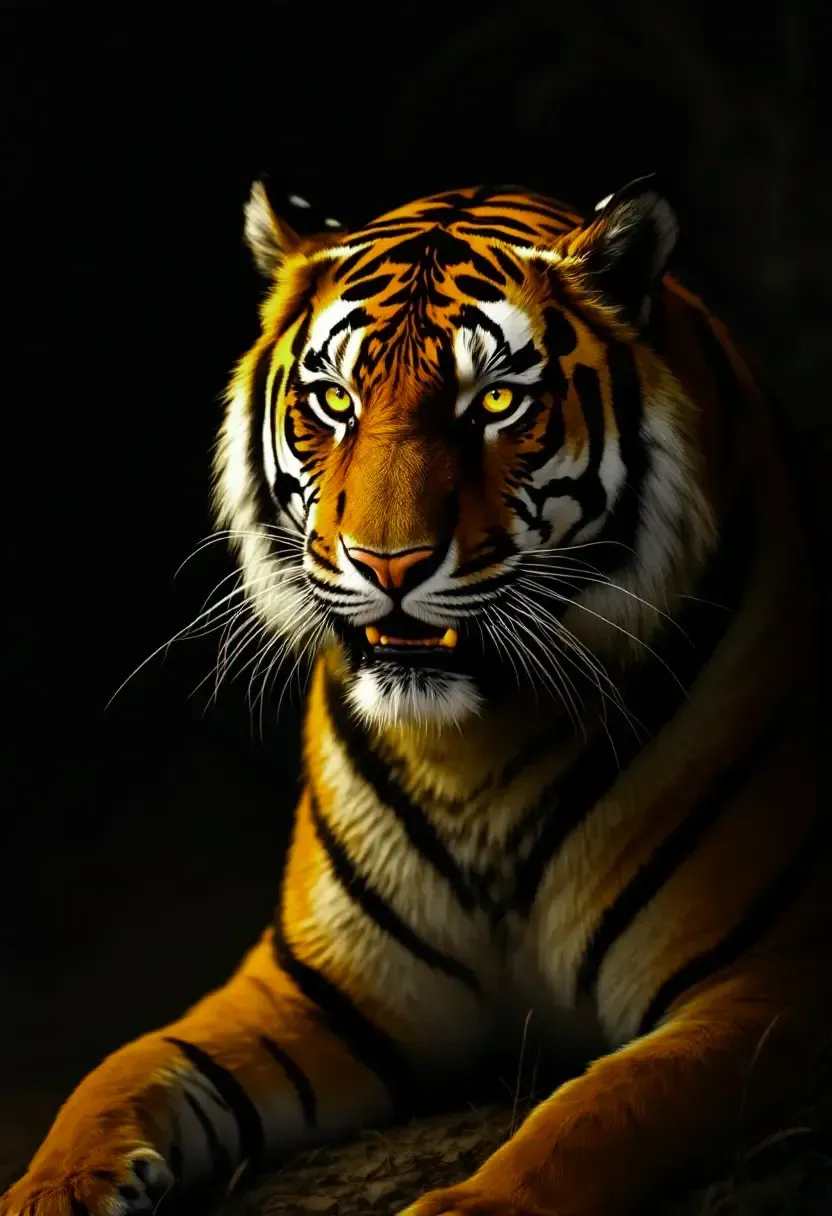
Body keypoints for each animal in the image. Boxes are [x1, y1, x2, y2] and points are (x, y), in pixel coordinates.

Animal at [4, 176, 828, 1216]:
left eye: (498, 401)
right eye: (334, 400)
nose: (387, 563)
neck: (472, 749)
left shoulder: (766, 987)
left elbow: (604, 1108)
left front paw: (473, 1203)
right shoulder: (318, 995)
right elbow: (128, 1065)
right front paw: (57, 1187)